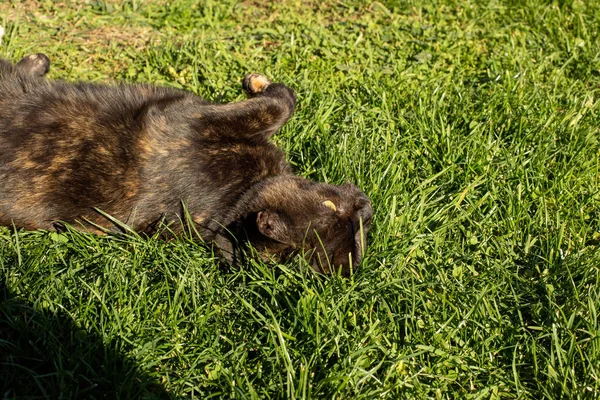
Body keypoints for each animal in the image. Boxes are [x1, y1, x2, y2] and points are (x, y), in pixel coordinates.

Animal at [0, 53, 372, 276]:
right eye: (332, 204)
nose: (366, 207)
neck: (234, 202)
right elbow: (284, 103)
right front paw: (257, 81)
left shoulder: (195, 121)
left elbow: (281, 101)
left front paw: (257, 82)